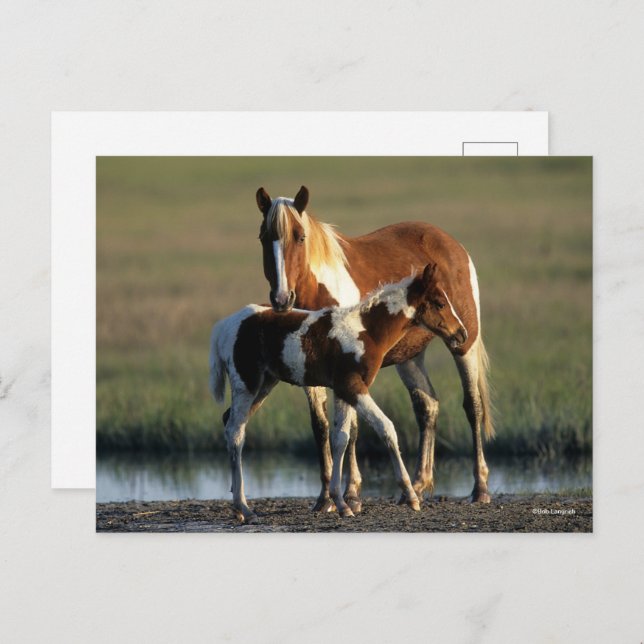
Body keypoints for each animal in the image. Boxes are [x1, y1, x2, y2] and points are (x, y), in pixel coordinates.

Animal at [209, 264, 467, 522]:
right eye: (440, 303)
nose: (462, 334)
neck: (366, 331)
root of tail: (224, 326)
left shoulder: (343, 390)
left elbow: (341, 438)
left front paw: (341, 503)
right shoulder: (352, 386)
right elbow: (386, 427)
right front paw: (411, 496)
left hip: (265, 384)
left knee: (228, 420)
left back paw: (238, 509)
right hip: (246, 384)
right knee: (235, 432)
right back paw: (244, 507)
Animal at [256, 186, 494, 512]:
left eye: (300, 236)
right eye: (263, 237)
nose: (281, 298)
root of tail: (451, 243)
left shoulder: (348, 372)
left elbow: (350, 429)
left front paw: (352, 495)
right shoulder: (310, 371)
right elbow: (321, 427)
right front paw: (325, 499)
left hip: (463, 344)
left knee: (473, 406)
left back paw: (480, 488)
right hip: (410, 357)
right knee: (427, 406)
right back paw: (417, 486)